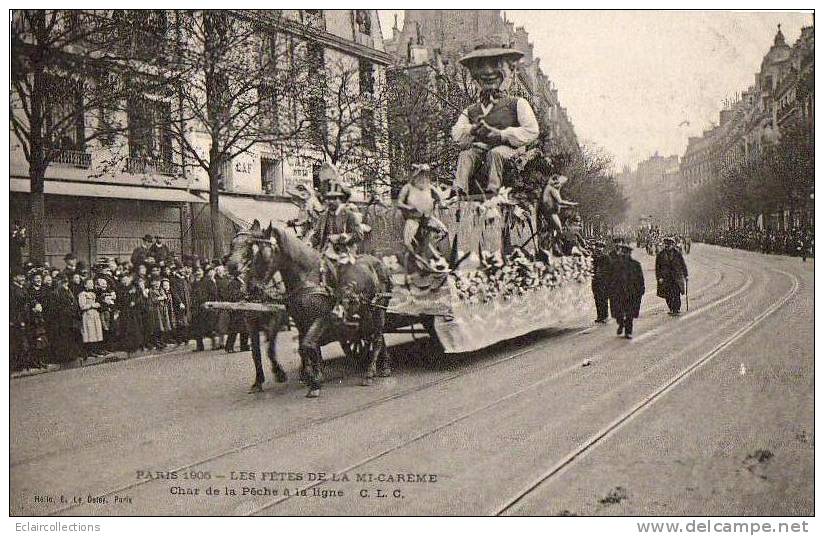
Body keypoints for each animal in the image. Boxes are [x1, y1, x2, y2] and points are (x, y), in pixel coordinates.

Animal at [233, 219, 394, 398]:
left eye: (263, 255)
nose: (250, 288)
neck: (308, 278)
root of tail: (379, 262)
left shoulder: (321, 318)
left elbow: (307, 345)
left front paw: (315, 381)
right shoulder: (300, 321)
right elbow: (304, 348)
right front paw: (310, 376)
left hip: (378, 308)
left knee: (377, 337)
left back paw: (370, 373)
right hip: (365, 311)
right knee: (373, 334)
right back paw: (383, 366)